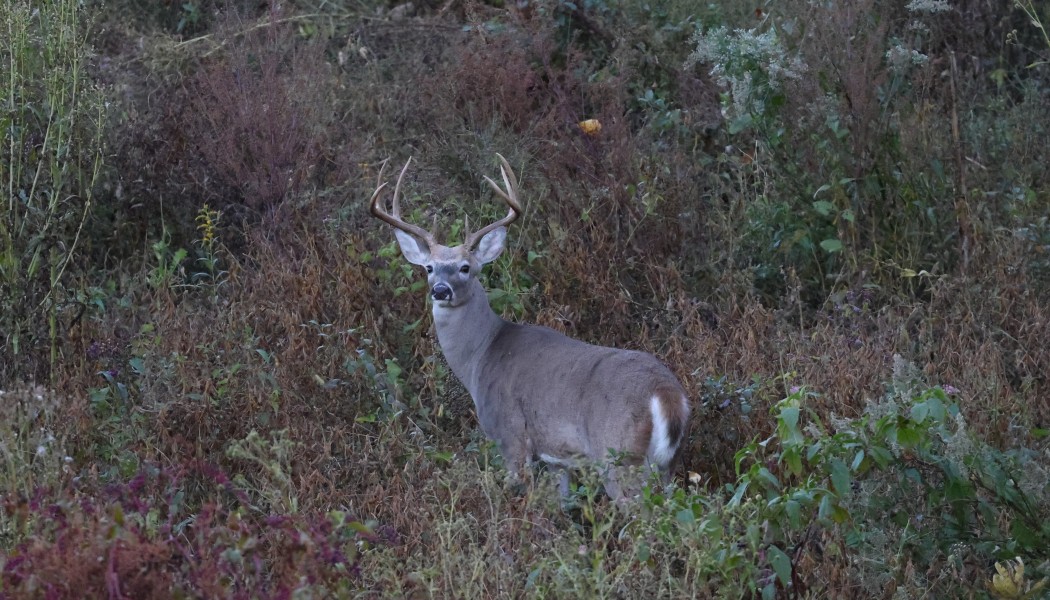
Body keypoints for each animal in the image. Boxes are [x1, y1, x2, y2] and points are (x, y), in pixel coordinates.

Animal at [369, 154, 690, 501]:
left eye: (465, 268)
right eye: (429, 268)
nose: (440, 290)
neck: (481, 355)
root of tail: (667, 395)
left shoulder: (509, 434)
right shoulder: (556, 458)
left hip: (617, 454)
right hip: (665, 465)